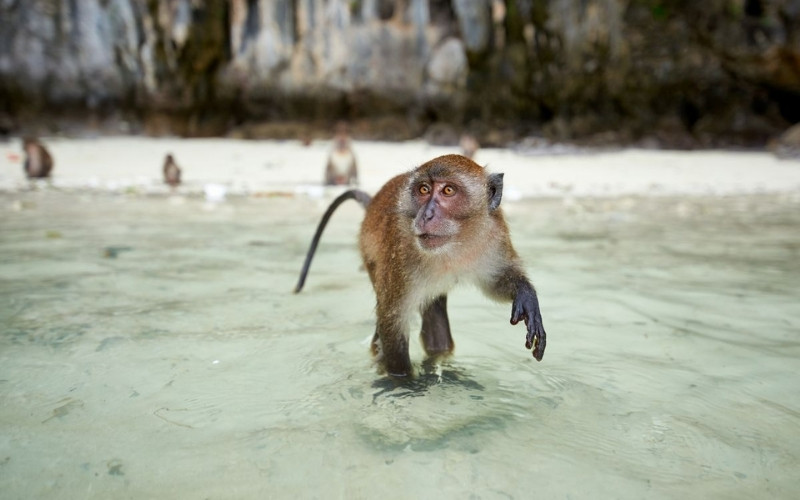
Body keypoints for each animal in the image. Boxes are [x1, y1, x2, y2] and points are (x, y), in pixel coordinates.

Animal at [295, 154, 546, 378]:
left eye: (448, 190)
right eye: (424, 189)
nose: (426, 215)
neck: (454, 243)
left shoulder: (495, 235)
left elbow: (495, 281)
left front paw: (525, 294)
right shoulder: (401, 253)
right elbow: (392, 319)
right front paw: (405, 382)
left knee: (435, 318)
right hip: (370, 256)